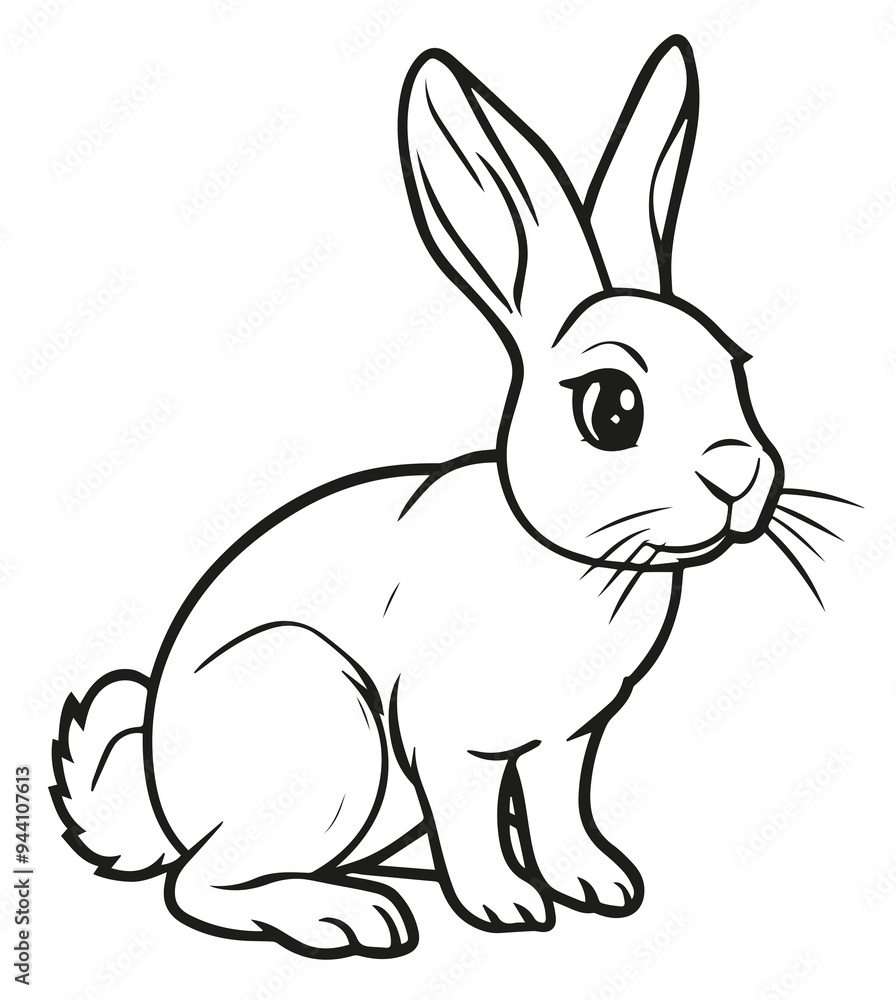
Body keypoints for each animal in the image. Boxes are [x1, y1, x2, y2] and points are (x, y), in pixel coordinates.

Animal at [51, 36, 851, 960]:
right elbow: (470, 823)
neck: (566, 558)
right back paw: (347, 915)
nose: (740, 475)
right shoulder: (448, 742)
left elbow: (560, 811)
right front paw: (506, 907)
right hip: (330, 730)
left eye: (735, 369)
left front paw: (598, 885)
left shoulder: (567, 742)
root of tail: (161, 800)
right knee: (201, 884)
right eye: (613, 408)